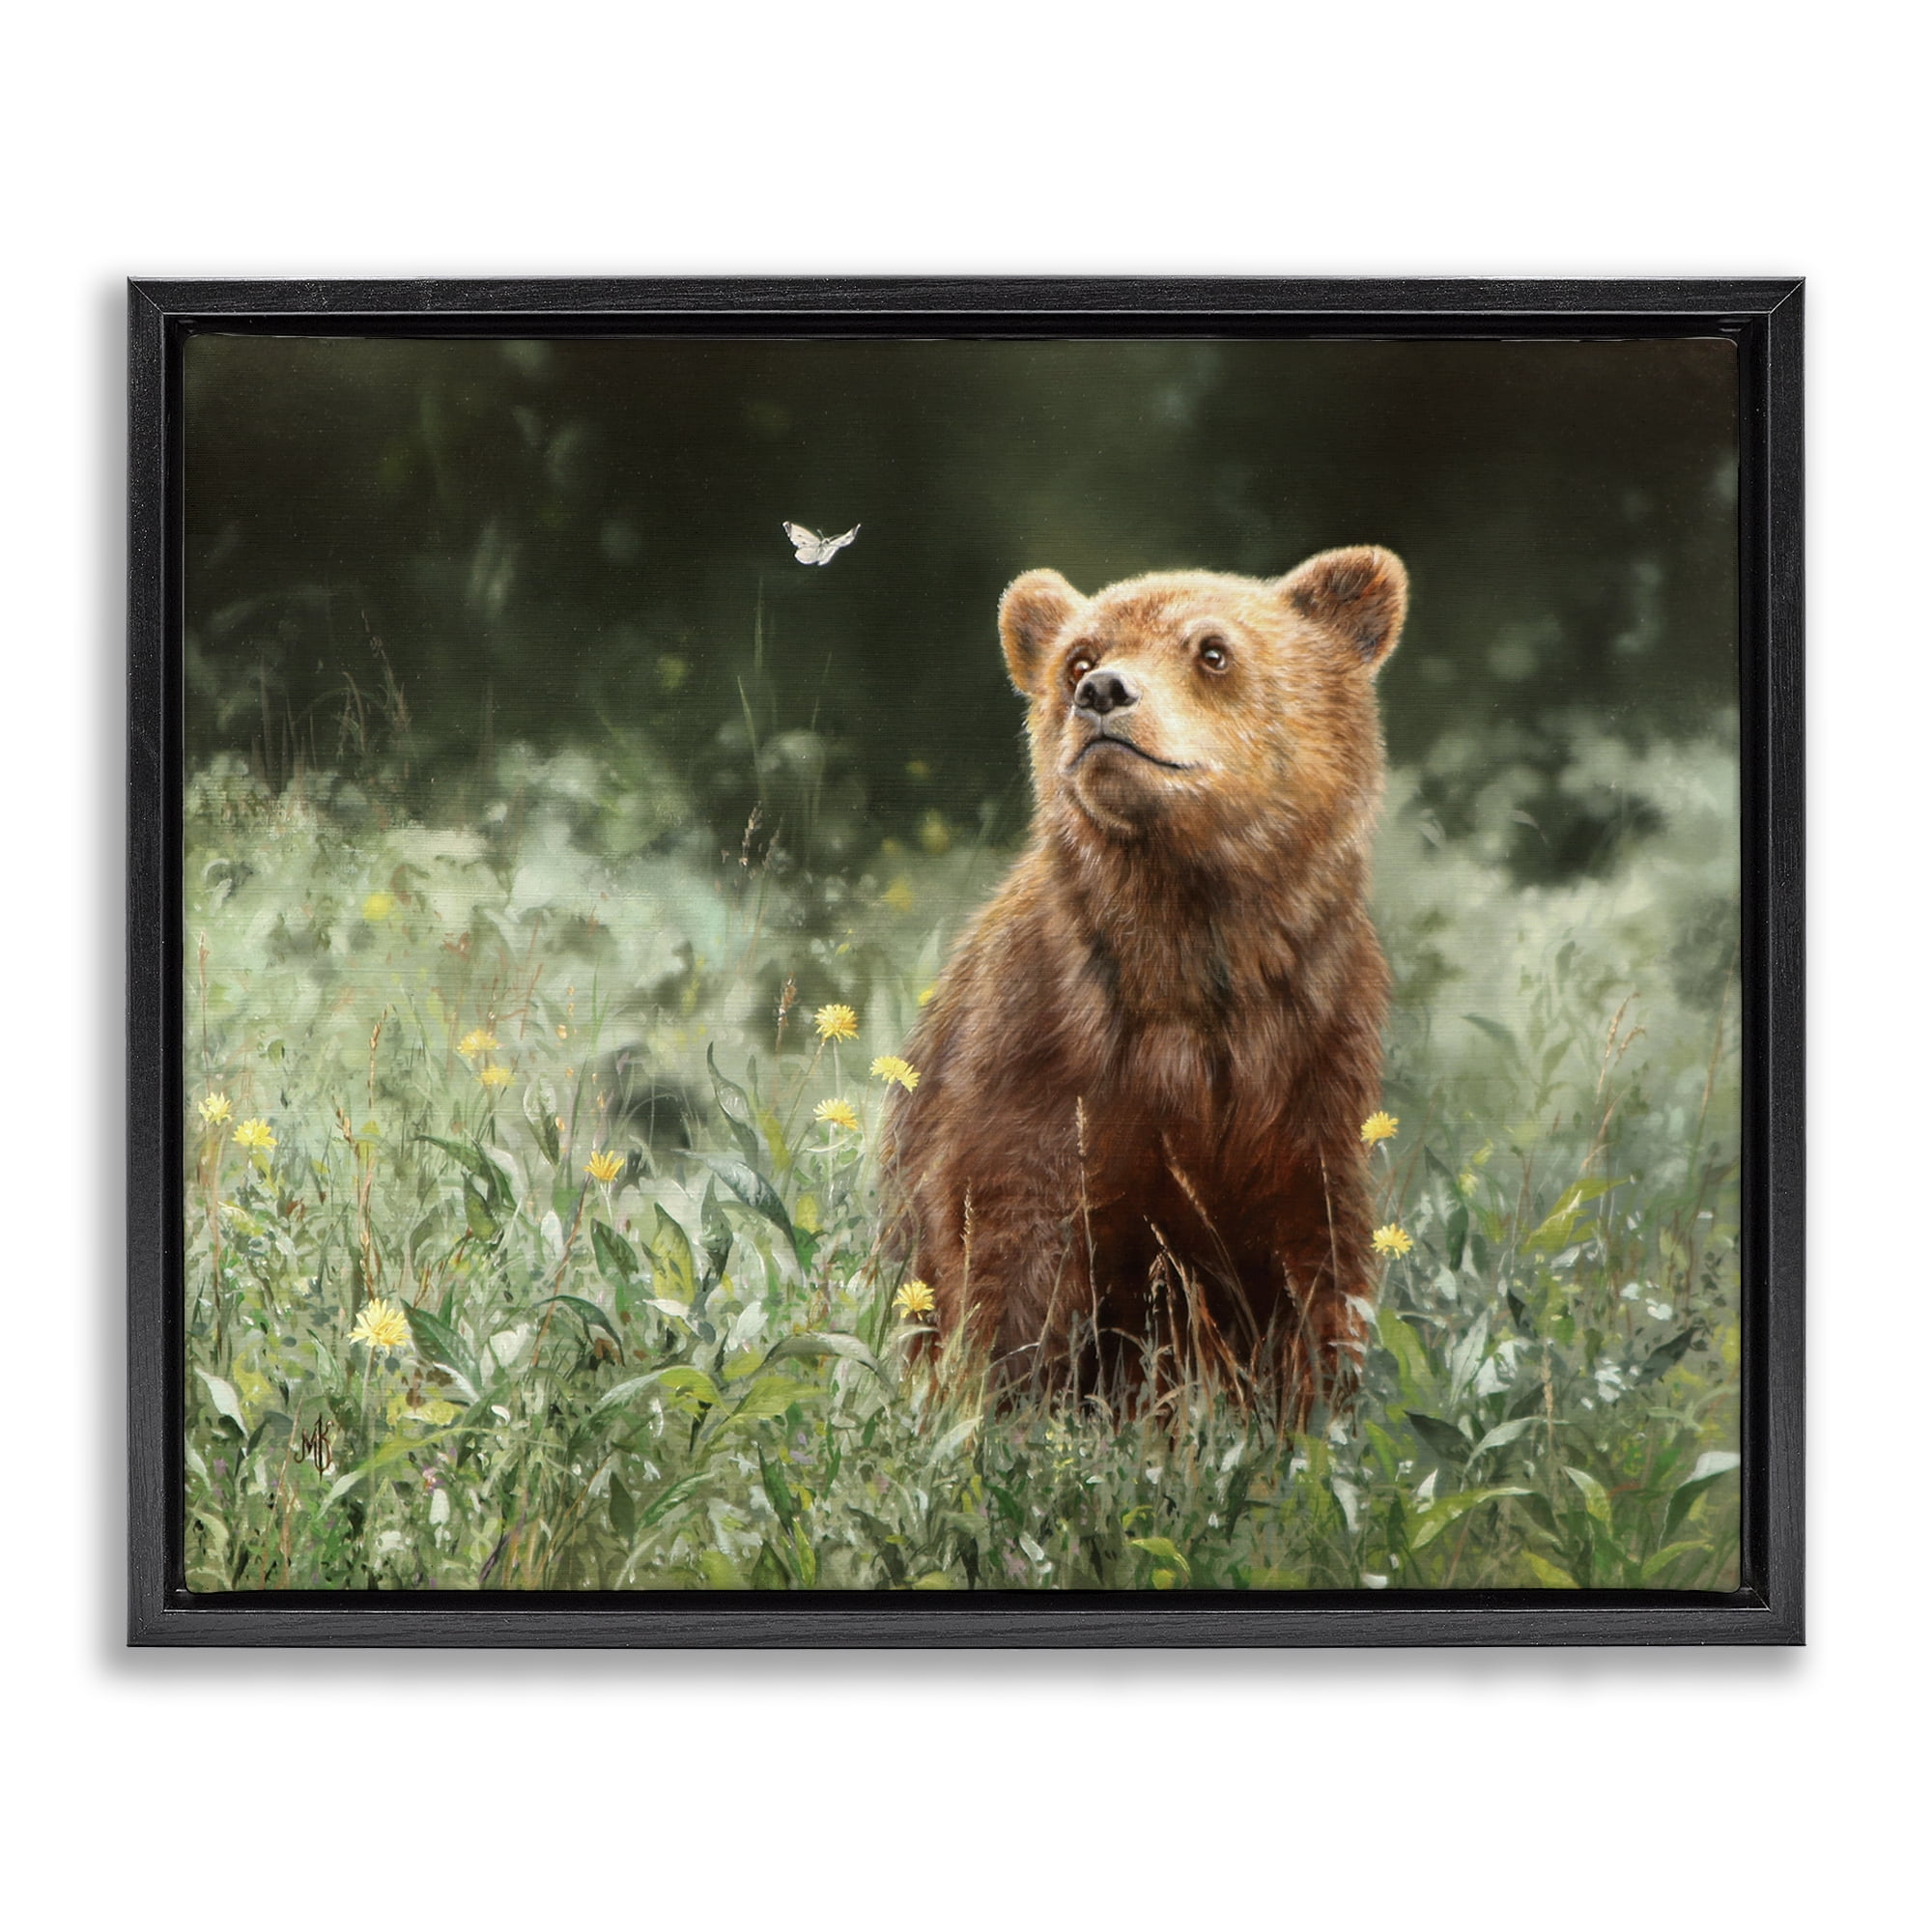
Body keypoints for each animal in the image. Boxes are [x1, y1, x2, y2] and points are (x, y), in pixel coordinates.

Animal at [881, 546, 1407, 1419]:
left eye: (1213, 650)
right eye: (1077, 656)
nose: (1102, 692)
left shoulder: (1310, 1055)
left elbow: (1312, 1260)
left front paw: (1307, 1408)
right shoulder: (1043, 1050)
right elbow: (1008, 1245)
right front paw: (1009, 1403)